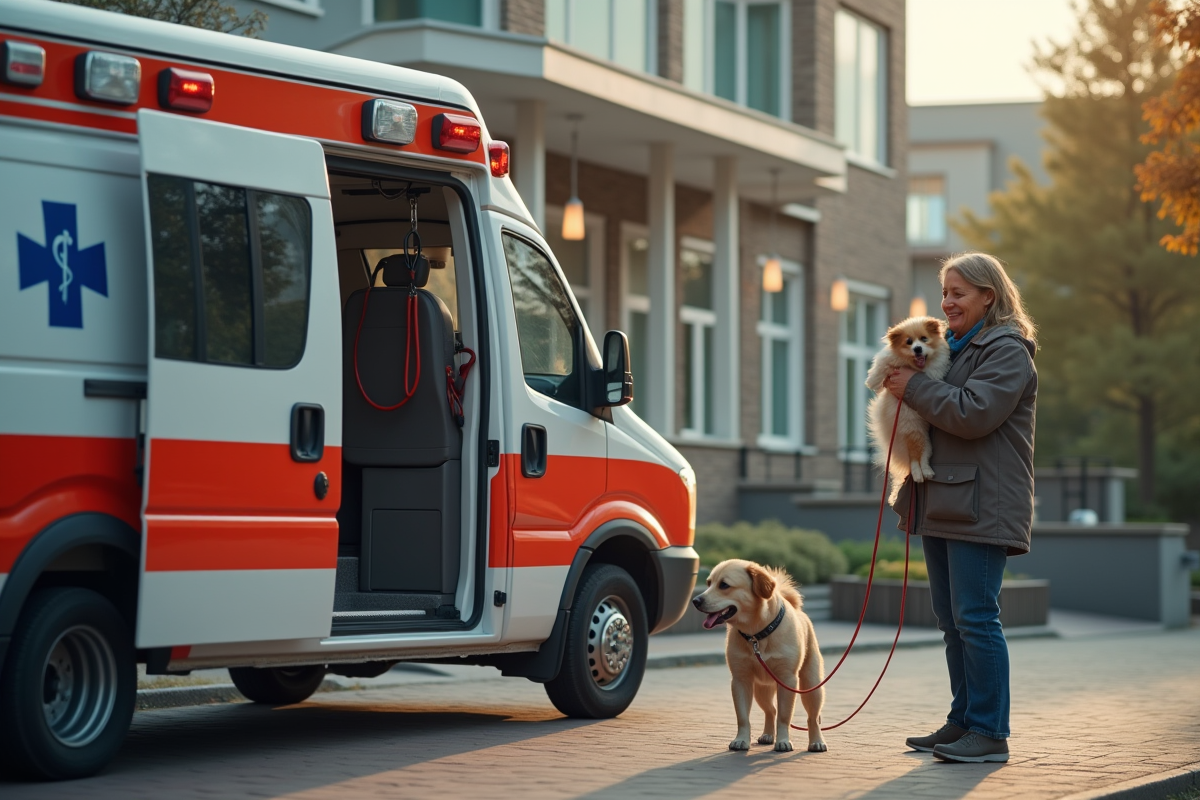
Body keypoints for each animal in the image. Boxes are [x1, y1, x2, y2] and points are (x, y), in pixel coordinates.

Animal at [691, 561, 830, 753]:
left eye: (724, 585)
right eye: (708, 583)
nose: (695, 601)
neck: (757, 635)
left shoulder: (787, 679)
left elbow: (784, 716)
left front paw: (783, 740)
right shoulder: (741, 680)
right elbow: (743, 717)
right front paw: (741, 739)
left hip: (811, 686)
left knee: (813, 717)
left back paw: (816, 741)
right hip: (761, 690)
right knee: (771, 710)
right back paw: (768, 735)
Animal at [864, 316, 945, 503]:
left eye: (924, 339)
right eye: (909, 342)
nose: (917, 348)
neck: (913, 365)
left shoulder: (936, 367)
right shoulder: (888, 360)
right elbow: (881, 367)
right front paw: (872, 382)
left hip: (922, 439)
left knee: (921, 458)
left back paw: (925, 473)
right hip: (911, 433)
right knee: (914, 460)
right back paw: (919, 474)